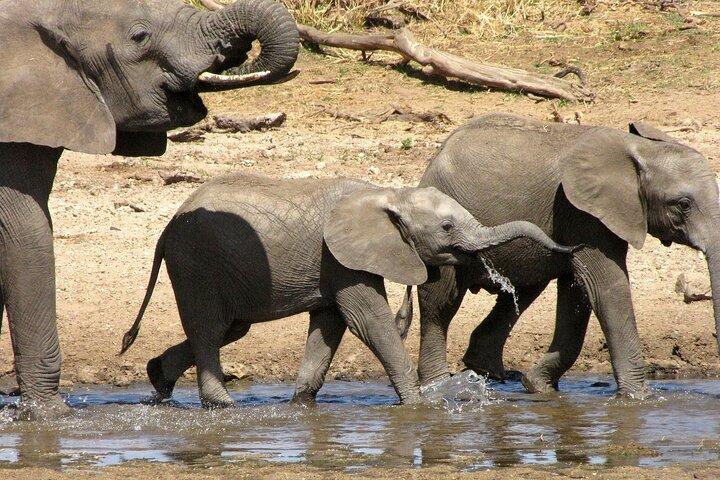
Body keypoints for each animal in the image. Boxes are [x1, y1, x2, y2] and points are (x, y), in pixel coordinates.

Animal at [119, 172, 578, 407]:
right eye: (447, 227)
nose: (570, 247)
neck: (390, 193)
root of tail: (166, 228)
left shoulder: (336, 264)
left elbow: (330, 325)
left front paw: (301, 404)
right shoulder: (340, 257)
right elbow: (367, 320)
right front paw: (420, 405)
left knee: (228, 328)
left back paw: (158, 378)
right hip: (196, 262)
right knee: (210, 327)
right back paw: (223, 405)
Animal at [414, 112, 720, 398]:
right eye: (683, 204)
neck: (640, 149)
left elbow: (578, 292)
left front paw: (538, 386)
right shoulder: (582, 214)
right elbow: (606, 288)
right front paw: (639, 398)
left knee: (521, 292)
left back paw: (487, 374)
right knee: (439, 305)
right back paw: (438, 386)